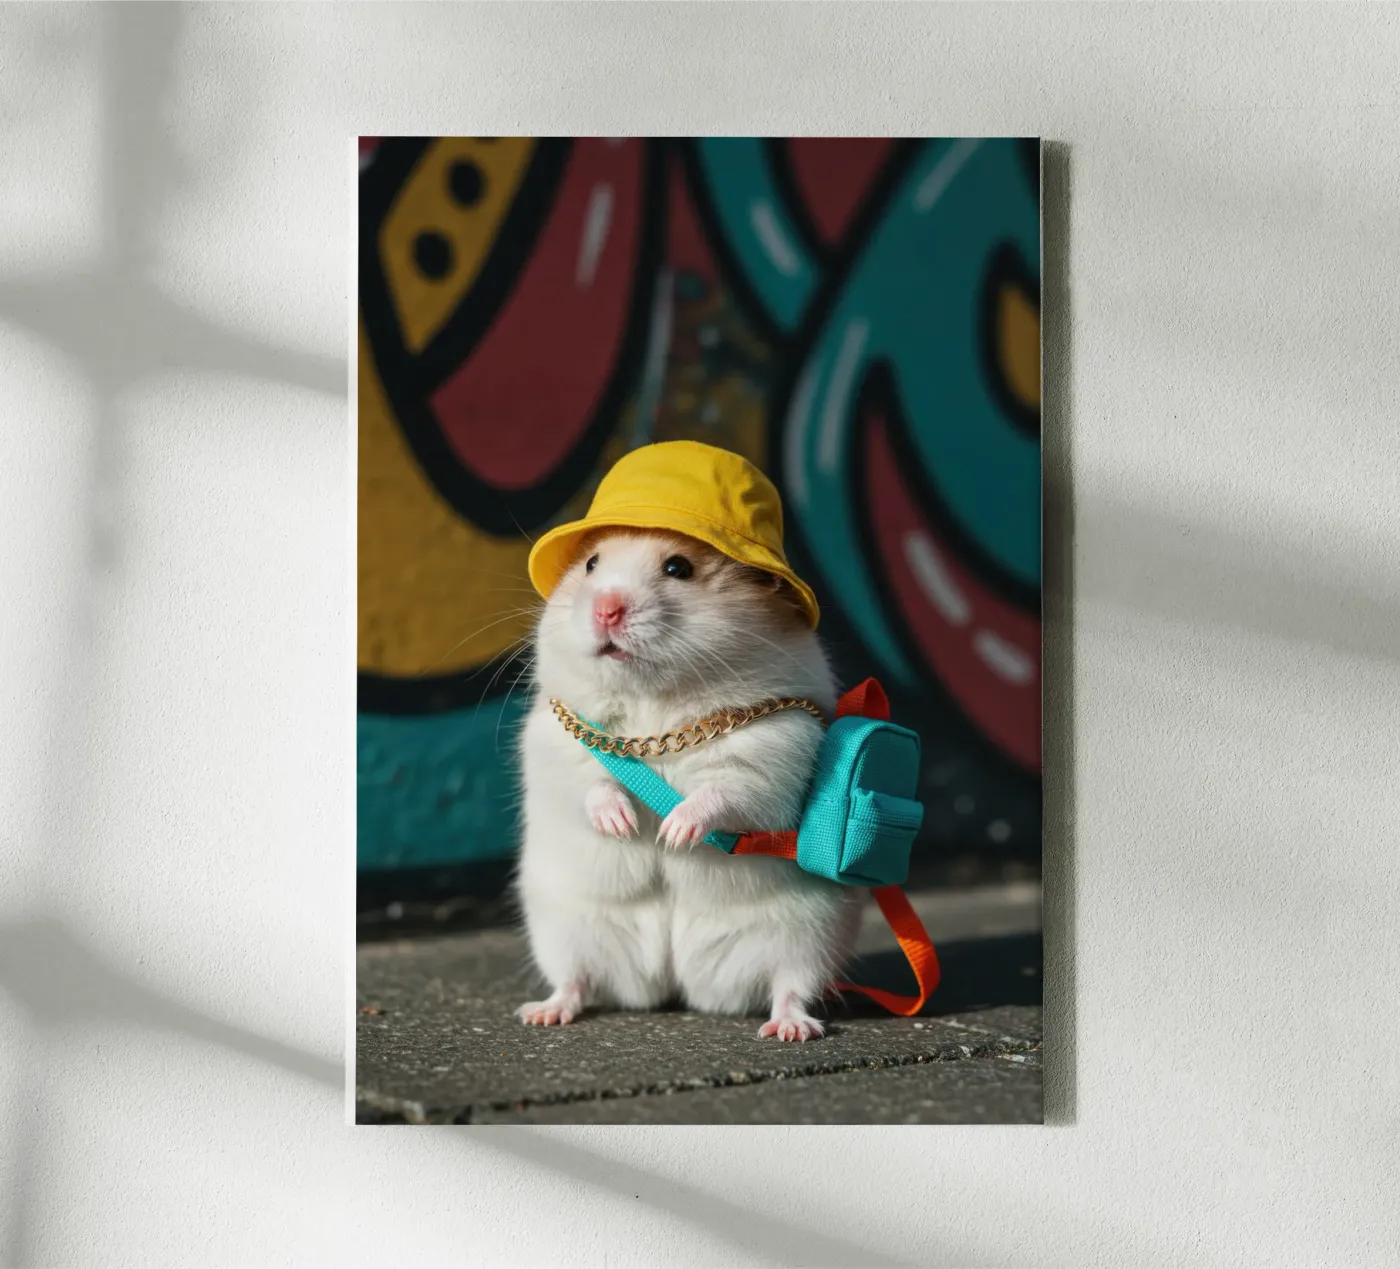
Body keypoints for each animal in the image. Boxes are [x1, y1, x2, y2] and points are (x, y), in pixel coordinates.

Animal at [514, 527, 863, 1041]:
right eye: (591, 564)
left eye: (678, 568)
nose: (606, 609)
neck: (652, 698)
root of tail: (678, 981)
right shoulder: (557, 743)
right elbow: (590, 785)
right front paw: (624, 825)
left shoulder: (774, 751)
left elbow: (722, 793)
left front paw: (673, 834)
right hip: (564, 929)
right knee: (574, 980)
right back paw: (541, 1013)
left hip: (807, 937)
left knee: (791, 986)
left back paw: (790, 1030)